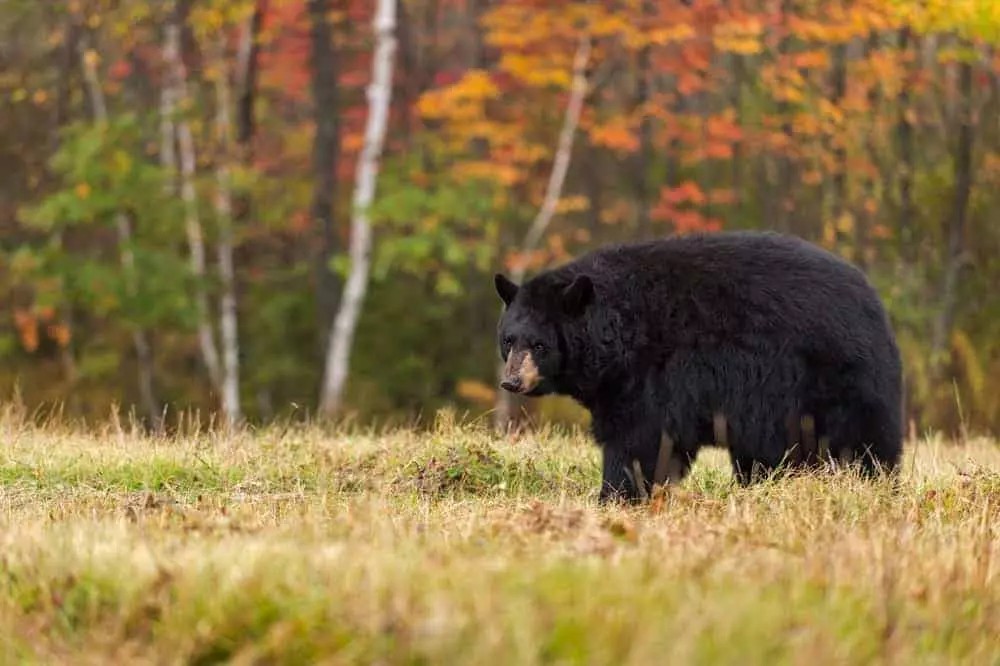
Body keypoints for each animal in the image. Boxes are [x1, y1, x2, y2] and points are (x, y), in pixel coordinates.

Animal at [493, 231, 903, 502]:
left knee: (862, 442)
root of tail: (874, 304)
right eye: (509, 340)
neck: (619, 336)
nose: (512, 382)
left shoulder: (653, 376)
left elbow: (639, 439)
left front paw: (615, 495)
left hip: (830, 380)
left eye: (540, 345)